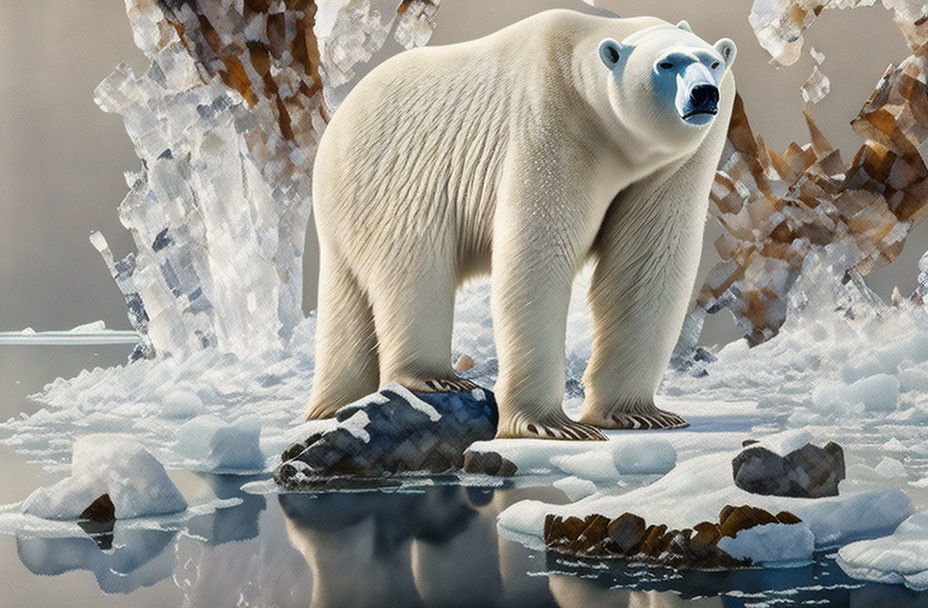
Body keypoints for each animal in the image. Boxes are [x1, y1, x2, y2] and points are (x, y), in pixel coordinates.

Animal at [308, 8, 736, 436]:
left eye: (713, 62)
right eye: (666, 63)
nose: (704, 94)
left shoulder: (676, 163)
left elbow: (646, 264)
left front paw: (641, 414)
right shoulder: (551, 125)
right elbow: (537, 258)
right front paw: (554, 425)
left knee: (349, 303)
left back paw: (333, 405)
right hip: (395, 181)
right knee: (414, 268)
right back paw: (433, 378)